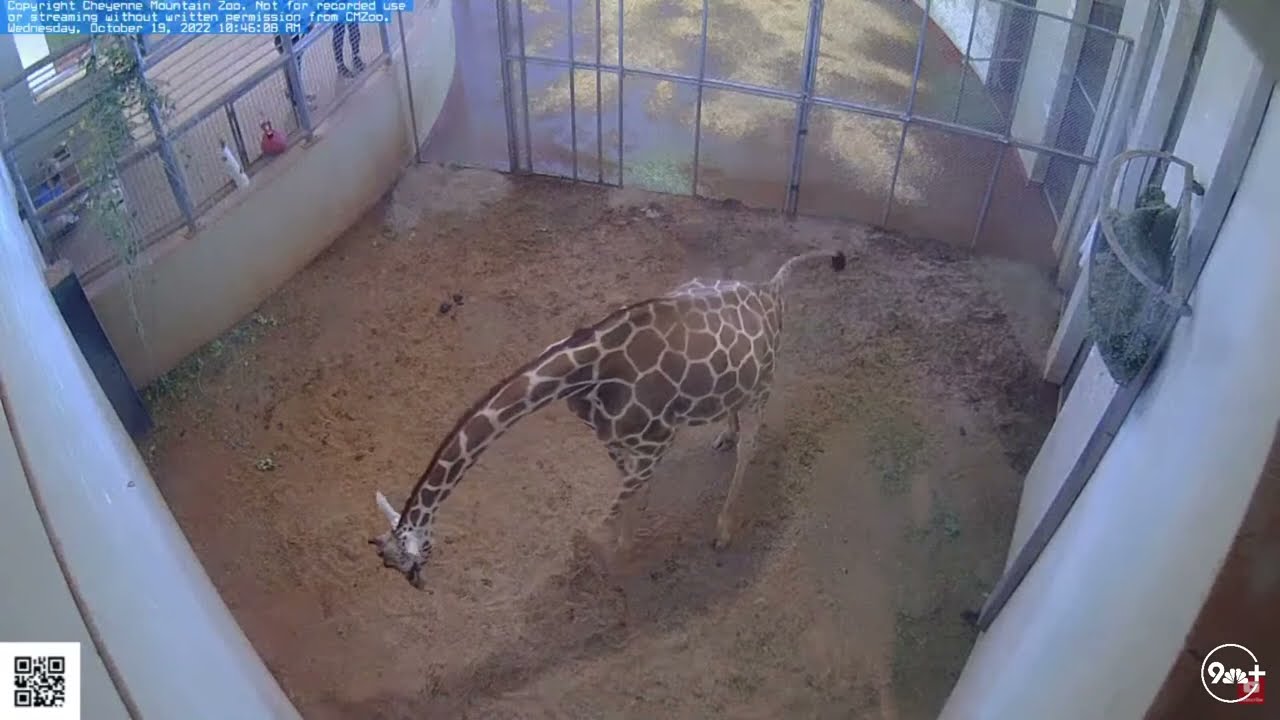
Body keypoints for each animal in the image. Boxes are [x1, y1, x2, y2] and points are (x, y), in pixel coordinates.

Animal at [370, 249, 847, 588]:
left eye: (410, 558)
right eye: (387, 562)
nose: (419, 585)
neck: (584, 373)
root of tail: (771, 289)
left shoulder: (654, 445)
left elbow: (607, 513)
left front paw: (610, 552)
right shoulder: (613, 440)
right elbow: (628, 496)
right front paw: (627, 538)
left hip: (764, 383)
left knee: (750, 448)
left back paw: (724, 529)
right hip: (737, 387)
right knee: (730, 418)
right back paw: (724, 439)